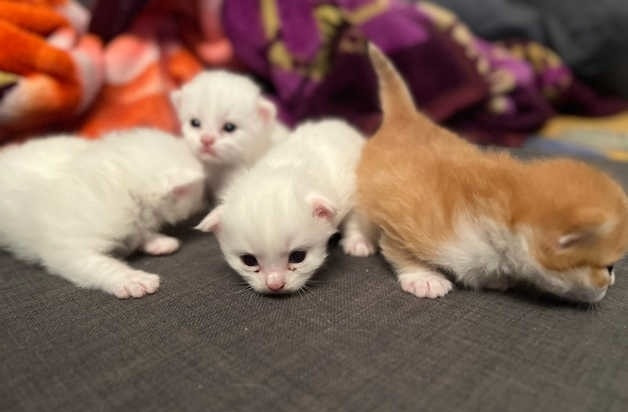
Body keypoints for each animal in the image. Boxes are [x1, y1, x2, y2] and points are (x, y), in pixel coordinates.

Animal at [0, 127, 206, 298]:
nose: (204, 203)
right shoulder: (69, 249)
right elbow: (101, 265)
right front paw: (132, 280)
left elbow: (140, 232)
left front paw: (156, 241)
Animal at [194, 117, 376, 294]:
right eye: (249, 260)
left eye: (298, 257)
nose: (275, 285)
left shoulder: (351, 188)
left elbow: (355, 217)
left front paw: (357, 243)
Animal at [358, 45, 628, 302]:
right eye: (609, 267)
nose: (613, 281)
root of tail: (407, 118)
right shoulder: (399, 218)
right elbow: (398, 250)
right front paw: (424, 278)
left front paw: (495, 280)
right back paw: (359, 241)